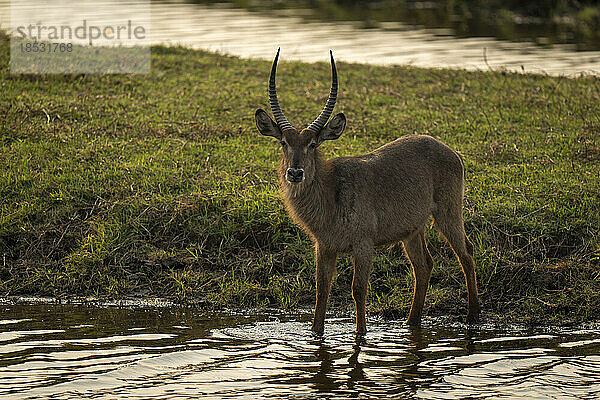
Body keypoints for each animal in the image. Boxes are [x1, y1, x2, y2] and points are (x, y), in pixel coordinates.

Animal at [255, 49, 480, 334]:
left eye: (313, 144)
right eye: (284, 142)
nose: (295, 173)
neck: (332, 193)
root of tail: (450, 150)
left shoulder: (363, 244)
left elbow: (358, 289)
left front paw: (361, 333)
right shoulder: (324, 246)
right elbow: (321, 291)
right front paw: (316, 334)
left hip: (448, 213)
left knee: (466, 253)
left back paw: (473, 316)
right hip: (411, 229)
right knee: (424, 265)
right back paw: (411, 322)